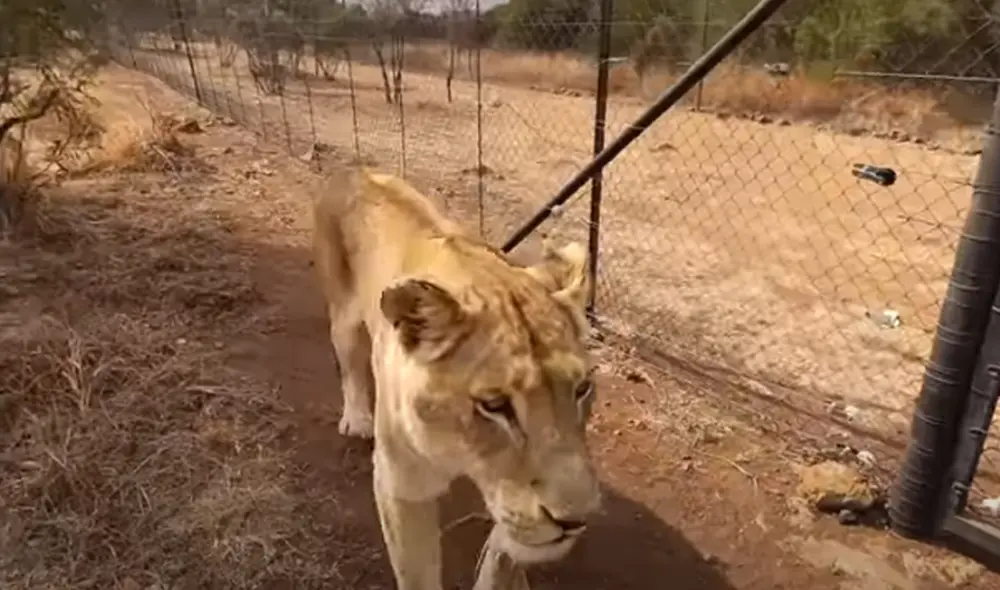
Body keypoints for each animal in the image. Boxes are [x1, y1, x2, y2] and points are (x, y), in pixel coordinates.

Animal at [312, 167, 601, 589]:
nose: (576, 521)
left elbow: (506, 547)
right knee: (348, 359)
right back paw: (356, 419)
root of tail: (357, 170)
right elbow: (417, 574)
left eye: (582, 389)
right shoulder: (403, 484)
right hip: (344, 313)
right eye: (494, 405)